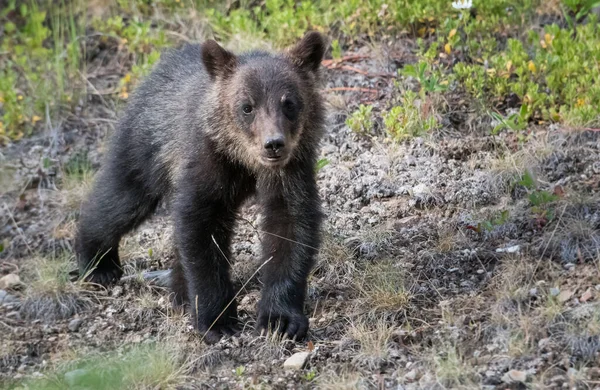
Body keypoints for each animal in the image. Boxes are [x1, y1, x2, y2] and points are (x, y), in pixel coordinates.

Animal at [75, 32, 328, 344]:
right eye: (247, 106)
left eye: (289, 102)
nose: (273, 144)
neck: (242, 161)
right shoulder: (206, 161)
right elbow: (201, 225)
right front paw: (217, 319)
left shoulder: (292, 171)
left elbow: (291, 225)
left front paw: (280, 319)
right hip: (145, 144)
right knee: (122, 199)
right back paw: (98, 263)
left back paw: (179, 292)